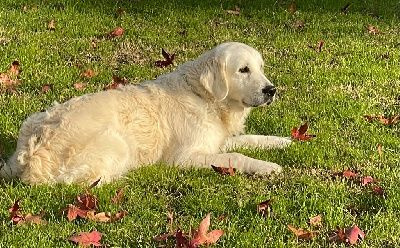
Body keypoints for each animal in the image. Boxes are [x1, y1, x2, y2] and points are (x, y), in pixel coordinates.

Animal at [1, 42, 292, 184]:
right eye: (243, 70)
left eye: (260, 67)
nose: (271, 90)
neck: (205, 96)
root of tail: (27, 151)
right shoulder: (184, 158)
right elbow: (236, 156)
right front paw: (267, 167)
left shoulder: (216, 141)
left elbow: (250, 140)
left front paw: (283, 142)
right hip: (117, 144)